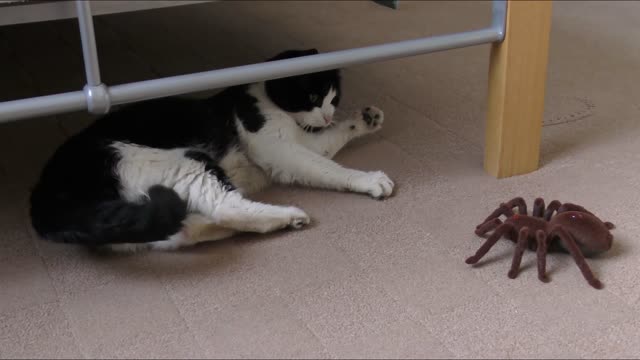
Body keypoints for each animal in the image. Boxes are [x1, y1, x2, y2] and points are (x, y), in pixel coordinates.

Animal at [30, 48, 396, 250]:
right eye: (312, 96)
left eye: (334, 98)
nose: (328, 113)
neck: (265, 99)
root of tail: (46, 192)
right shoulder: (279, 150)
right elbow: (327, 169)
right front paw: (370, 180)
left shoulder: (305, 141)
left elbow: (330, 142)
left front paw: (364, 119)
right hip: (182, 161)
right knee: (226, 206)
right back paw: (288, 216)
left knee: (181, 229)